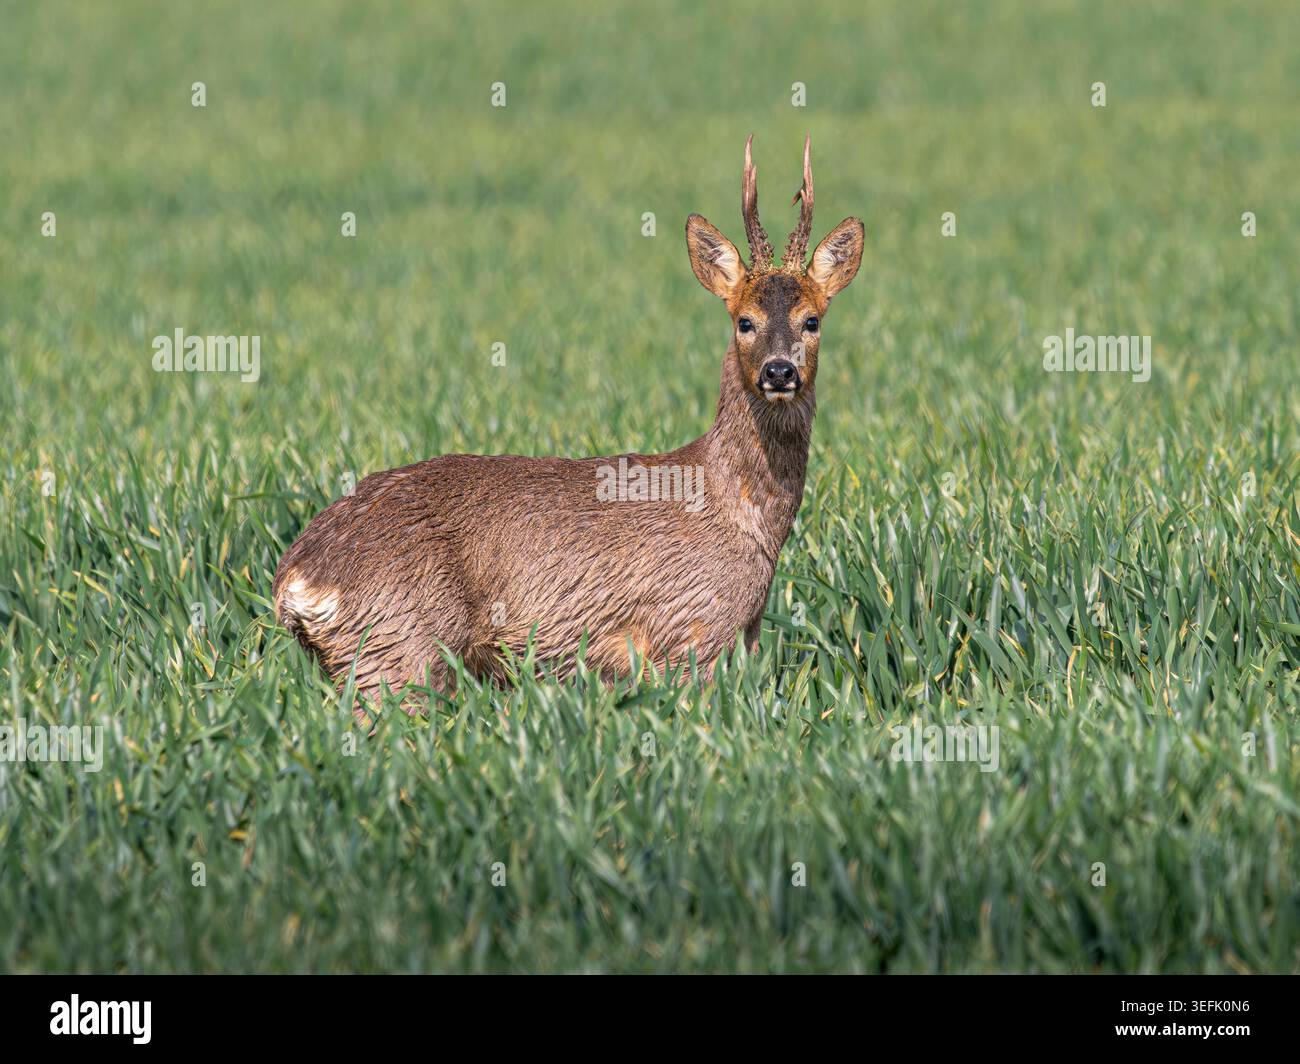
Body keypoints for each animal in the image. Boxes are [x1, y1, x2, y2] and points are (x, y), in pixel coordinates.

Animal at [273, 135, 864, 704]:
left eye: (812, 320)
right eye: (744, 320)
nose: (780, 371)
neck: (739, 514)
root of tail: (297, 581)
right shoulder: (689, 631)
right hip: (398, 644)